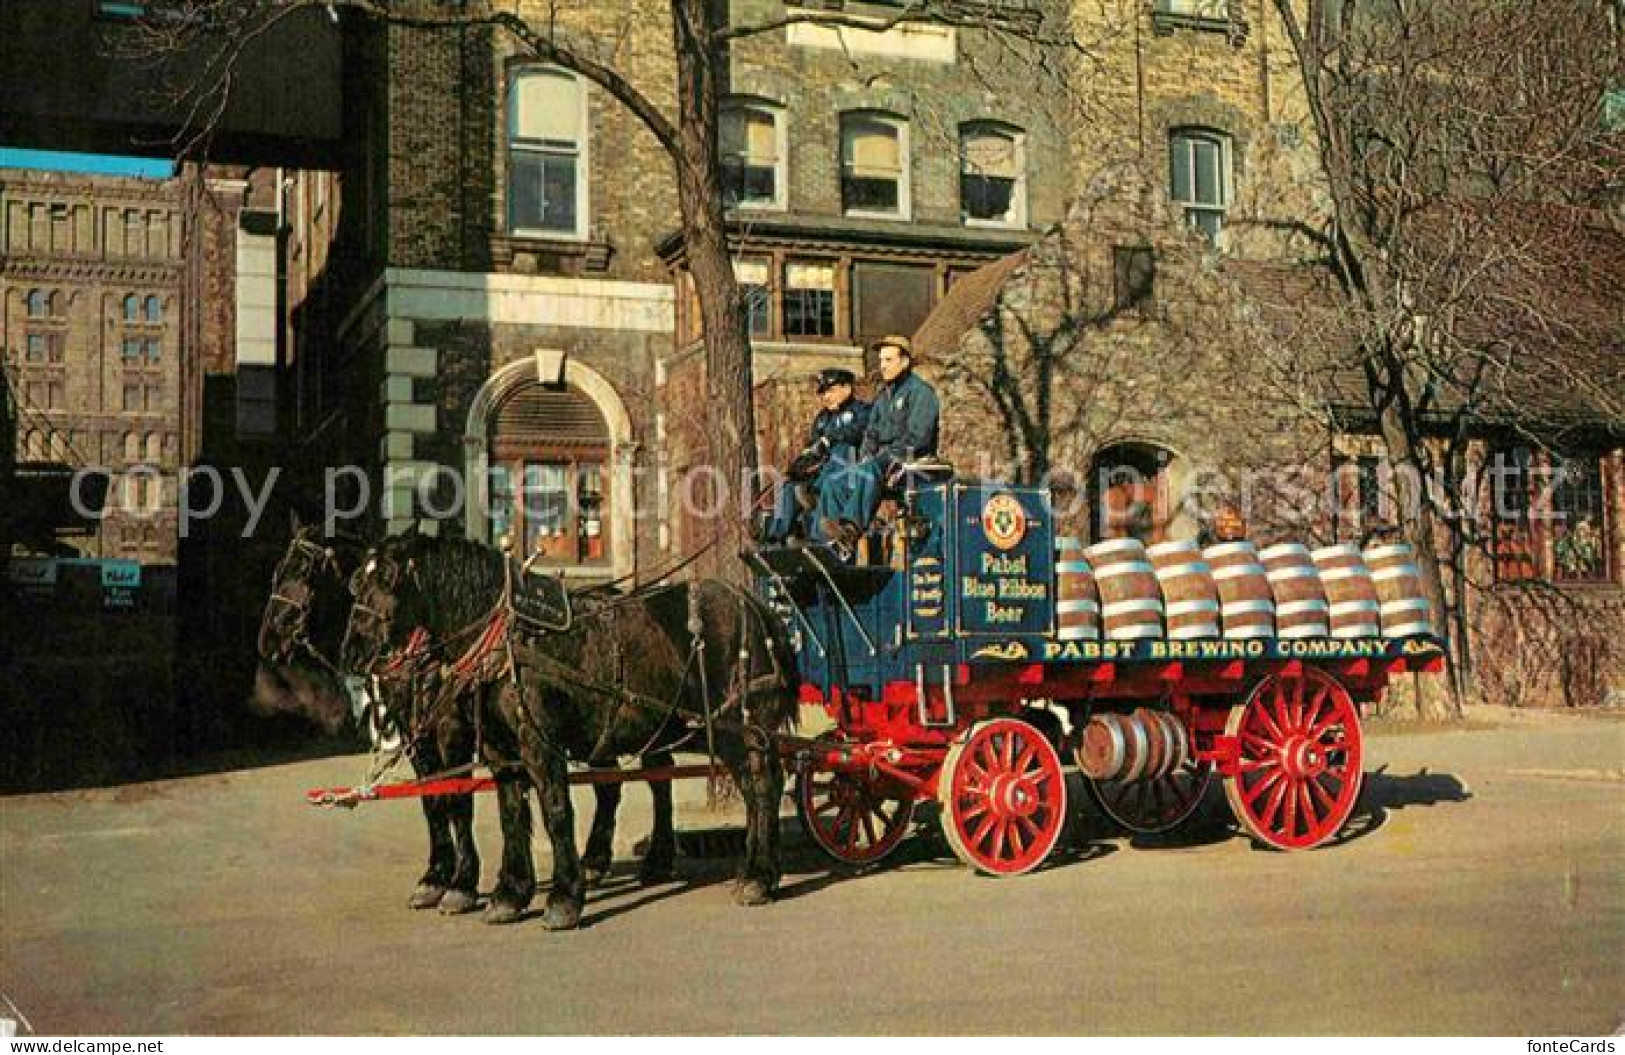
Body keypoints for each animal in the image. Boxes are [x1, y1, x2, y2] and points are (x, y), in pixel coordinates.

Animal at [258, 516, 672, 923]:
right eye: (356, 583)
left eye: (303, 570)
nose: (268, 640)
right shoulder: (417, 737)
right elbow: (434, 802)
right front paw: (436, 877)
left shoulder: (451, 731)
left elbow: (458, 801)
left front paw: (461, 884)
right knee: (612, 785)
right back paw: (596, 861)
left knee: (657, 774)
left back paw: (656, 860)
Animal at [342, 536, 799, 929]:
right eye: (355, 582)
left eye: (388, 579)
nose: (352, 651)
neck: (506, 641)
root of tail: (756, 608)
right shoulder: (497, 751)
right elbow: (506, 815)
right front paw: (508, 894)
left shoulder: (533, 744)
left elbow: (552, 812)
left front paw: (561, 899)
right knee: (691, 781)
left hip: (739, 727)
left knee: (762, 785)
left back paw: (758, 875)